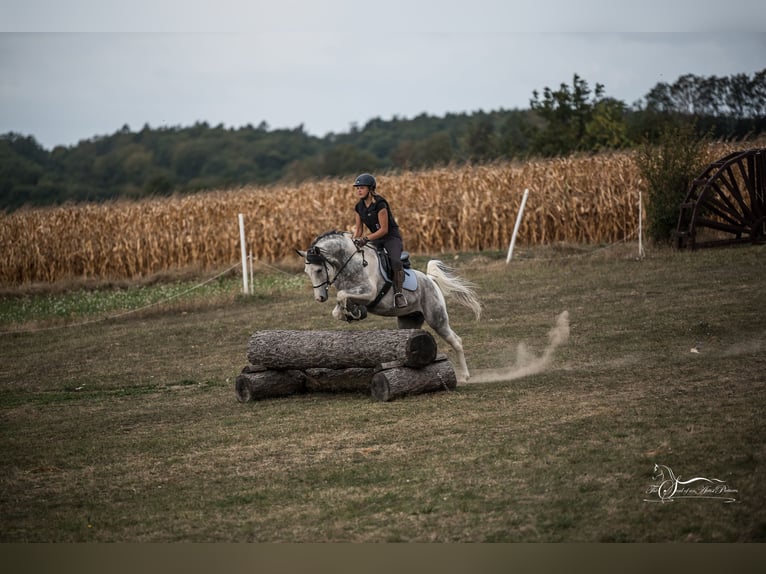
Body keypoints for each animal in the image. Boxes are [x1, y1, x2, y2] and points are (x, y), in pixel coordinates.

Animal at [296, 230, 482, 382]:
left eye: (319, 270)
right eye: (307, 272)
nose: (320, 298)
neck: (349, 263)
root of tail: (430, 280)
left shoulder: (370, 293)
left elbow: (342, 296)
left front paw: (353, 312)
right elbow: (338, 308)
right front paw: (352, 312)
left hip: (437, 319)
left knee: (456, 341)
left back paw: (465, 376)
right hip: (409, 320)